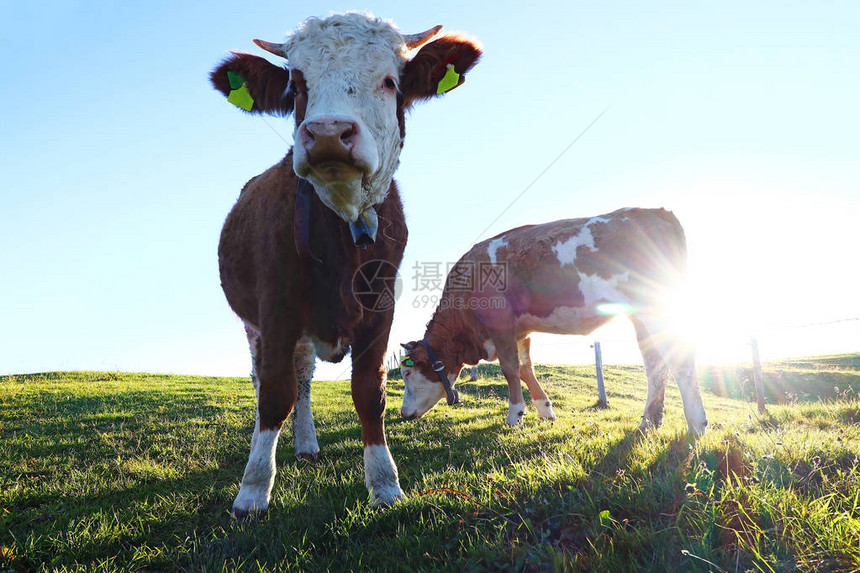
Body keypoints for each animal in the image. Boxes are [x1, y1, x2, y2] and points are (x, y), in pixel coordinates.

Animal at [206, 12, 480, 520]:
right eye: (297, 84)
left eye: (390, 81)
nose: (329, 132)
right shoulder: (275, 310)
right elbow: (273, 394)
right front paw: (253, 490)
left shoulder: (381, 309)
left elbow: (369, 392)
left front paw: (385, 484)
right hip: (256, 326)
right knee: (270, 380)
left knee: (304, 380)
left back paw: (307, 444)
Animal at [400, 208, 708, 436]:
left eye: (408, 373)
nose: (403, 413)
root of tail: (654, 212)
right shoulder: (521, 332)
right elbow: (526, 369)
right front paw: (545, 410)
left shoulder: (501, 326)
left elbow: (510, 370)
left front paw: (515, 415)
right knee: (655, 364)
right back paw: (649, 422)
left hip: (657, 306)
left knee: (680, 361)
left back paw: (696, 425)